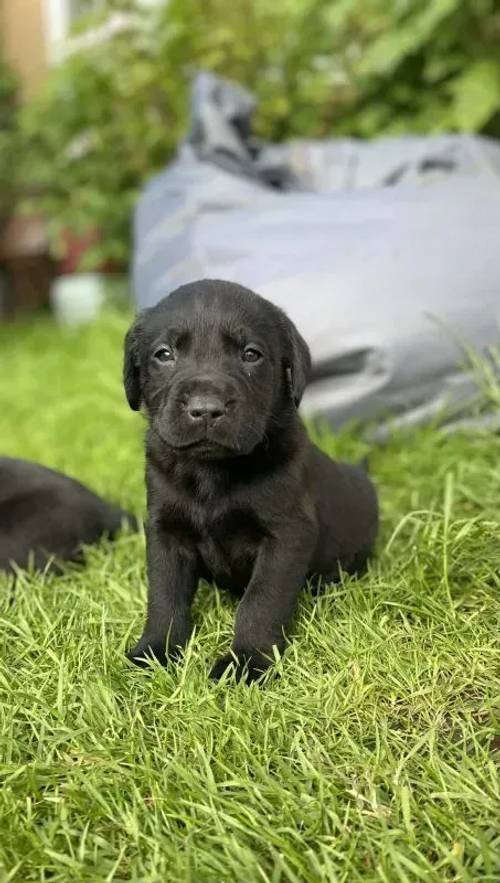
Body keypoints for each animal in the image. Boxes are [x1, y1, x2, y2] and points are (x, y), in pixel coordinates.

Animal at [125, 280, 378, 680]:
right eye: (164, 354)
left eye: (251, 354)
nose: (206, 409)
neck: (213, 473)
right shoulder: (166, 531)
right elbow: (164, 595)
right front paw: (154, 652)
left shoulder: (286, 535)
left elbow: (261, 600)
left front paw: (246, 662)